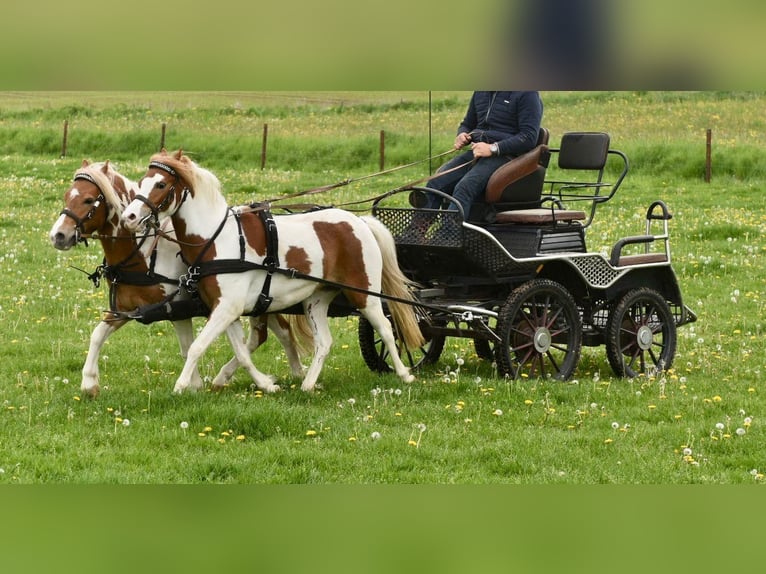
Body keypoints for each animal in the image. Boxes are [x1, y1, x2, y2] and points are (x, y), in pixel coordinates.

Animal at [49, 160, 309, 396]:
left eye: (88, 199)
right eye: (67, 196)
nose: (58, 235)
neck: (145, 255)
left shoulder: (178, 310)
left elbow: (187, 348)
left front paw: (193, 384)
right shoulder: (126, 309)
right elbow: (96, 335)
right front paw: (89, 383)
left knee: (261, 336)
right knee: (280, 333)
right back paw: (294, 372)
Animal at [120, 149, 424, 394]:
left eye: (161, 183)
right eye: (141, 182)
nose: (129, 218)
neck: (217, 238)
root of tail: (359, 221)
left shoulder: (227, 308)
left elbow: (198, 346)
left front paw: (181, 386)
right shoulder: (226, 310)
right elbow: (242, 352)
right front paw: (265, 384)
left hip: (365, 295)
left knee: (386, 328)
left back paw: (405, 374)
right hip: (316, 300)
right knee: (324, 342)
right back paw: (308, 384)